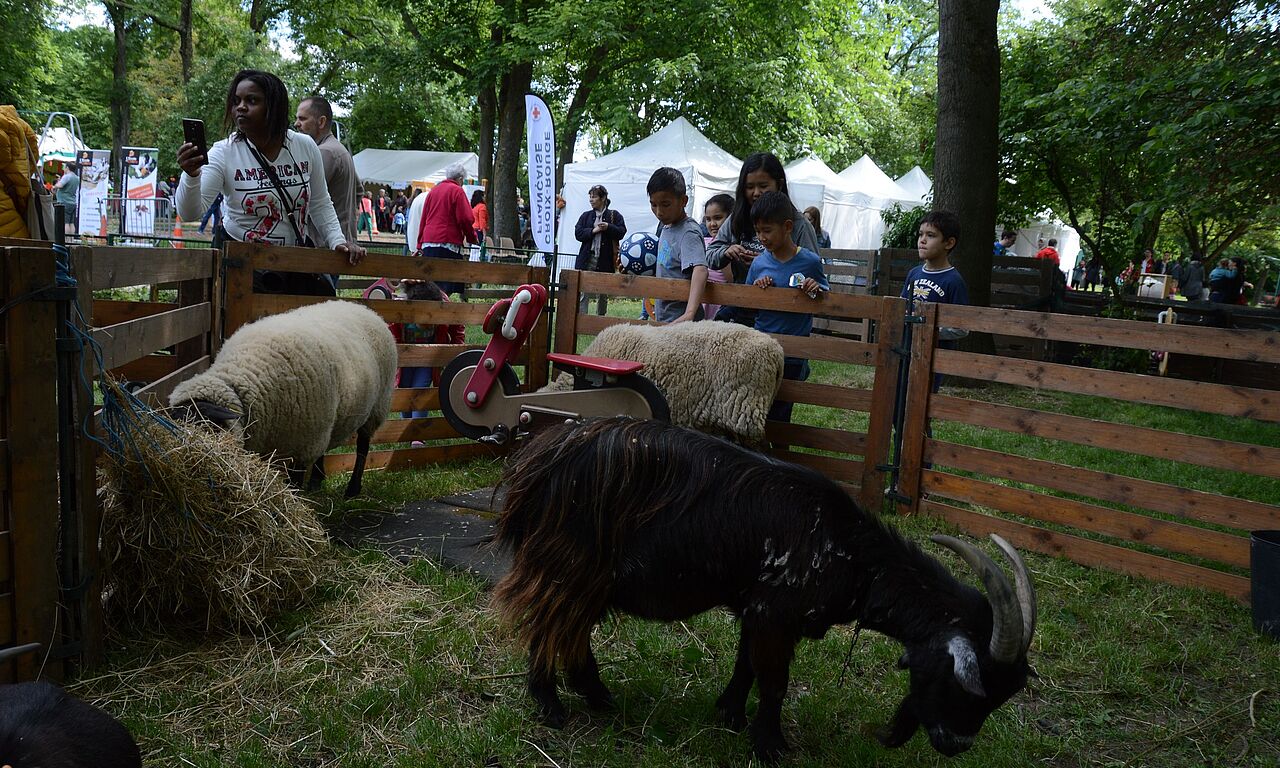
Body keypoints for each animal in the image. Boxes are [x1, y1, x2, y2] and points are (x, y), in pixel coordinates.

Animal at [168, 300, 397, 498]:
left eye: (202, 425)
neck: (241, 378)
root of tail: (359, 306)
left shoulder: (304, 444)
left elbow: (295, 482)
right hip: (327, 419)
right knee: (325, 447)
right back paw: (317, 480)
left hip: (376, 406)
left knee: (363, 447)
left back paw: (353, 489)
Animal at [492, 417, 1037, 762]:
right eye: (968, 685)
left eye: (1004, 695)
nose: (954, 745)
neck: (852, 552)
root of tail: (533, 465)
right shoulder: (779, 615)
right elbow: (774, 682)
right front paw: (771, 745)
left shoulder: (755, 609)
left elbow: (745, 666)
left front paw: (730, 715)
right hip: (569, 567)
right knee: (547, 627)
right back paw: (551, 706)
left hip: (587, 579)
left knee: (572, 633)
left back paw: (599, 696)